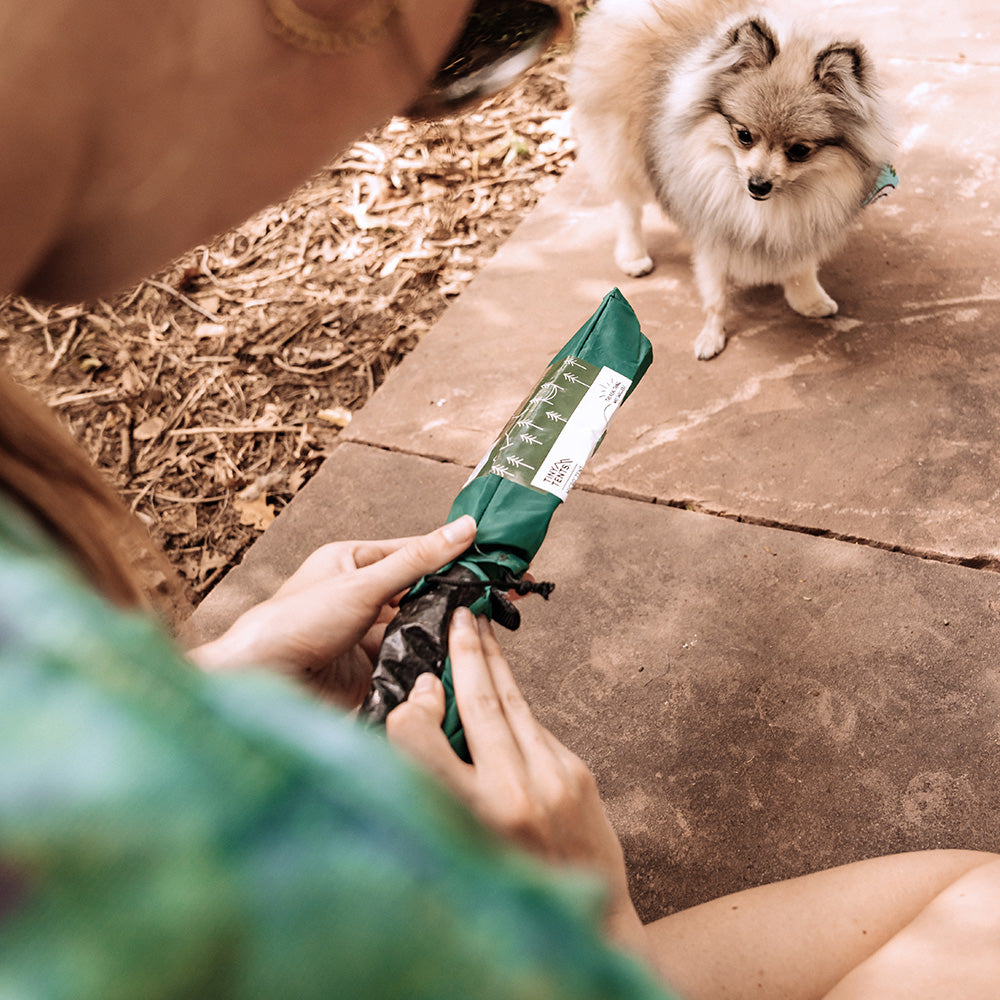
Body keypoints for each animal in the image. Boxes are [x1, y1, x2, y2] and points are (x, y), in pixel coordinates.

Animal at [568, 0, 896, 360]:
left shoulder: (803, 225)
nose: (758, 185)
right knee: (627, 205)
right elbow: (715, 297)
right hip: (622, 147)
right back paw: (633, 256)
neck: (773, 205)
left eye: (799, 150)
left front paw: (808, 300)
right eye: (744, 135)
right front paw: (711, 336)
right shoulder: (713, 233)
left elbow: (801, 266)